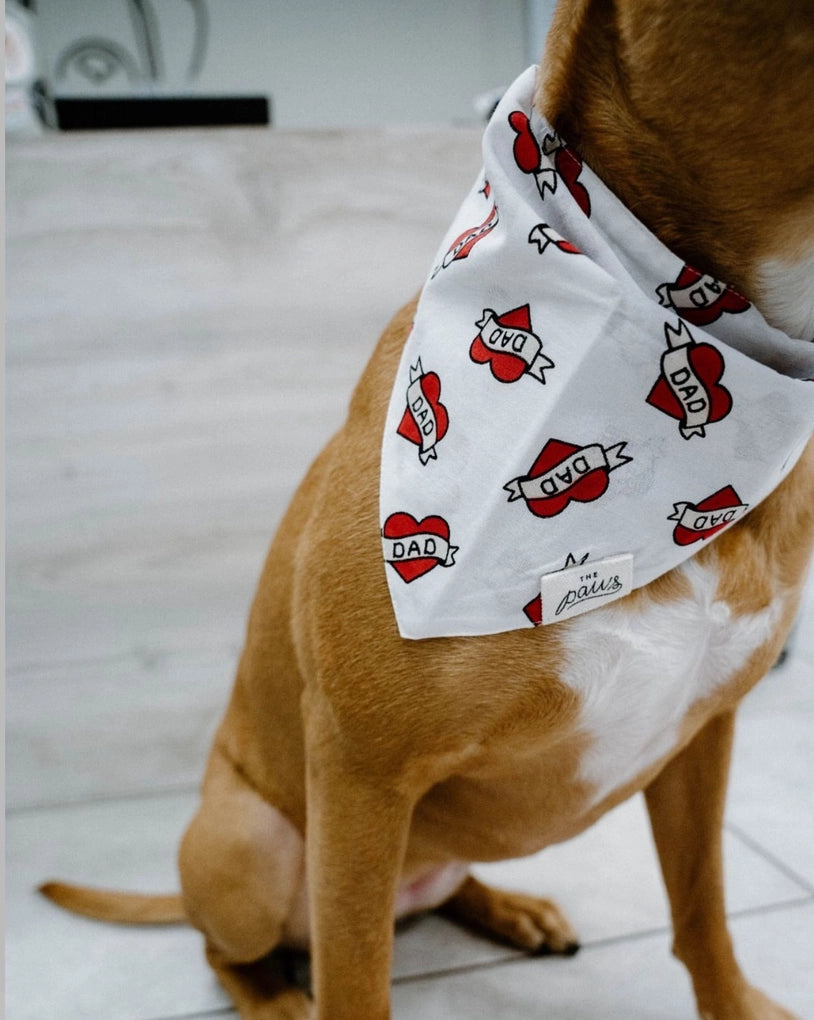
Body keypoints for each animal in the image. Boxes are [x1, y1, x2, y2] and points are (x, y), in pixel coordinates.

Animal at [43, 1, 814, 1020]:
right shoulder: (361, 774)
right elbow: (355, 980)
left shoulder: (704, 736)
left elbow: (704, 911)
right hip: (252, 846)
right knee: (231, 948)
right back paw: (274, 995)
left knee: (441, 887)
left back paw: (511, 909)